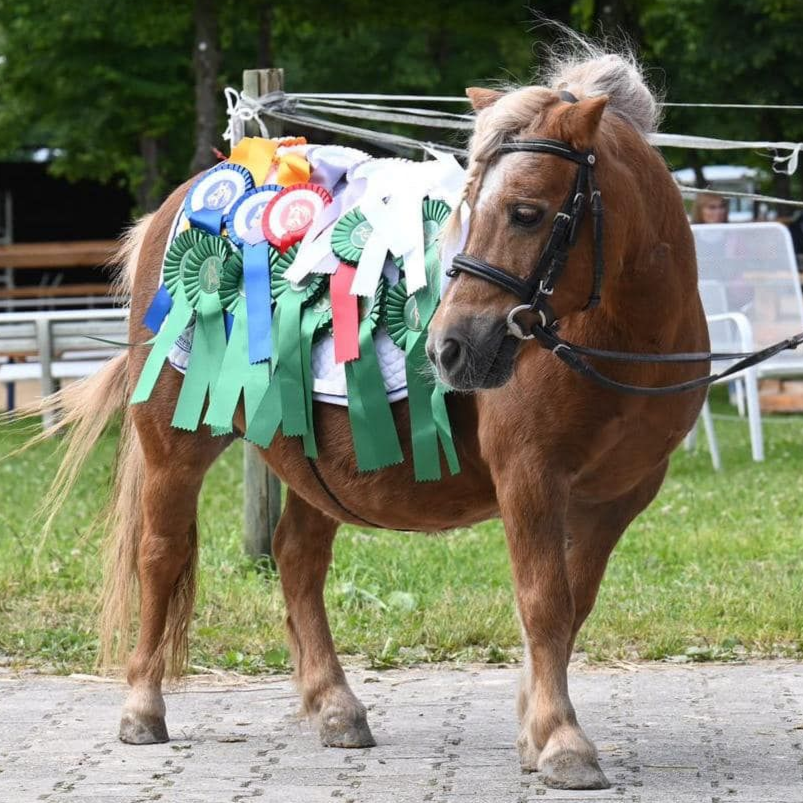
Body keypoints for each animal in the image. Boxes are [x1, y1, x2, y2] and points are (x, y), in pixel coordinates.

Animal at [34, 46, 707, 791]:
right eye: (469, 205)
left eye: (527, 212)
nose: (449, 345)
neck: (617, 335)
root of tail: (187, 198)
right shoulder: (530, 478)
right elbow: (544, 601)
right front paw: (560, 738)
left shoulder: (616, 495)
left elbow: (573, 604)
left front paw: (535, 726)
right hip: (174, 438)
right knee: (161, 555)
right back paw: (142, 706)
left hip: (309, 456)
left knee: (297, 558)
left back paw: (333, 704)